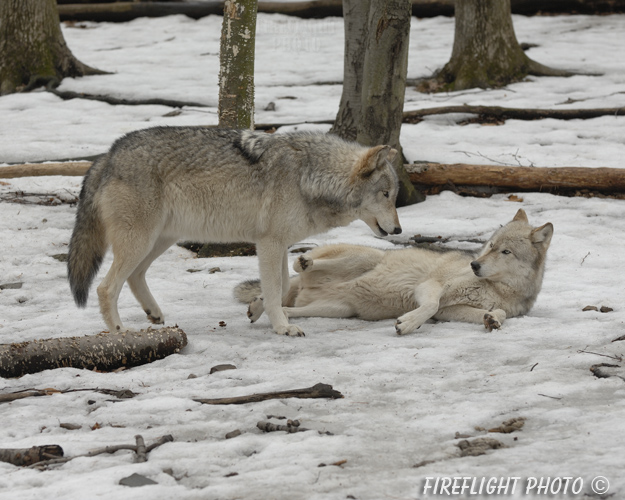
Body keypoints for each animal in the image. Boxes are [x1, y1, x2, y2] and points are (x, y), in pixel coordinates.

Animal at [68, 126, 400, 336]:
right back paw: (119, 331)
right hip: (141, 241)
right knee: (106, 287)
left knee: (135, 276)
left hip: (160, 239)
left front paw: (257, 309)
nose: (398, 229)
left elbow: (280, 285)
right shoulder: (269, 243)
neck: (309, 175)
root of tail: (108, 155)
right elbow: (276, 287)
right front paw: (283, 328)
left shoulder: (278, 244)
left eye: (394, 196)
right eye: (385, 194)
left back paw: (153, 313)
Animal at [234, 209, 552, 334]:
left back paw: (262, 308)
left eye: (506, 252)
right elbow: (429, 305)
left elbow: (498, 314)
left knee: (285, 307)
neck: (495, 286)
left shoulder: (448, 312)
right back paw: (303, 264)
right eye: (490, 246)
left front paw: (492, 319)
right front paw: (408, 323)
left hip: (339, 309)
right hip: (365, 258)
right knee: (297, 268)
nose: (474, 265)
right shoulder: (431, 287)